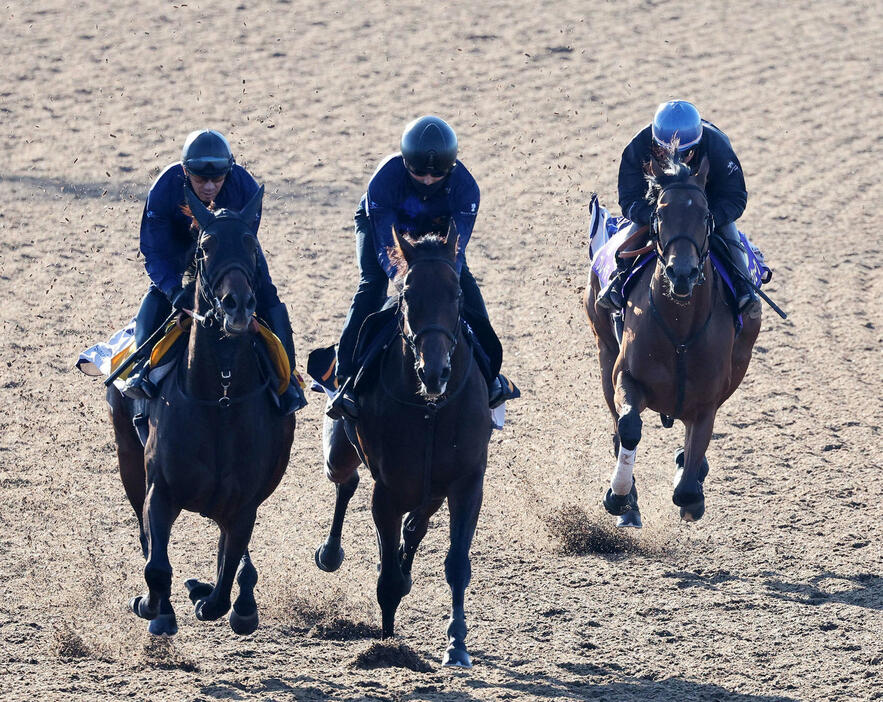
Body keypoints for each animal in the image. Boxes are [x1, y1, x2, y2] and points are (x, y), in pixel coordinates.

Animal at [106, 187, 294, 640]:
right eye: (205, 247)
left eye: (250, 243)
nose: (237, 304)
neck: (220, 400)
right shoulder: (160, 489)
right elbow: (156, 566)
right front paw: (155, 608)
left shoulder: (243, 505)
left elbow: (224, 581)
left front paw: (213, 597)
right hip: (127, 458)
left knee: (233, 559)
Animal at [316, 227, 494, 672]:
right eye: (409, 294)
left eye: (457, 294)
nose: (435, 372)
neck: (430, 408)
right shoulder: (389, 489)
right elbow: (389, 580)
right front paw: (386, 645)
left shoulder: (467, 481)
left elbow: (457, 563)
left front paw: (456, 645)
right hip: (340, 455)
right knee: (345, 480)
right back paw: (330, 552)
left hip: (432, 485)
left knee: (416, 524)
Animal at [584, 154, 764, 524]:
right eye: (661, 213)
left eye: (705, 214)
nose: (682, 273)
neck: (680, 329)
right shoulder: (626, 375)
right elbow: (629, 427)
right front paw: (620, 496)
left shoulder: (707, 400)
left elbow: (687, 488)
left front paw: (690, 479)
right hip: (603, 348)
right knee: (617, 426)